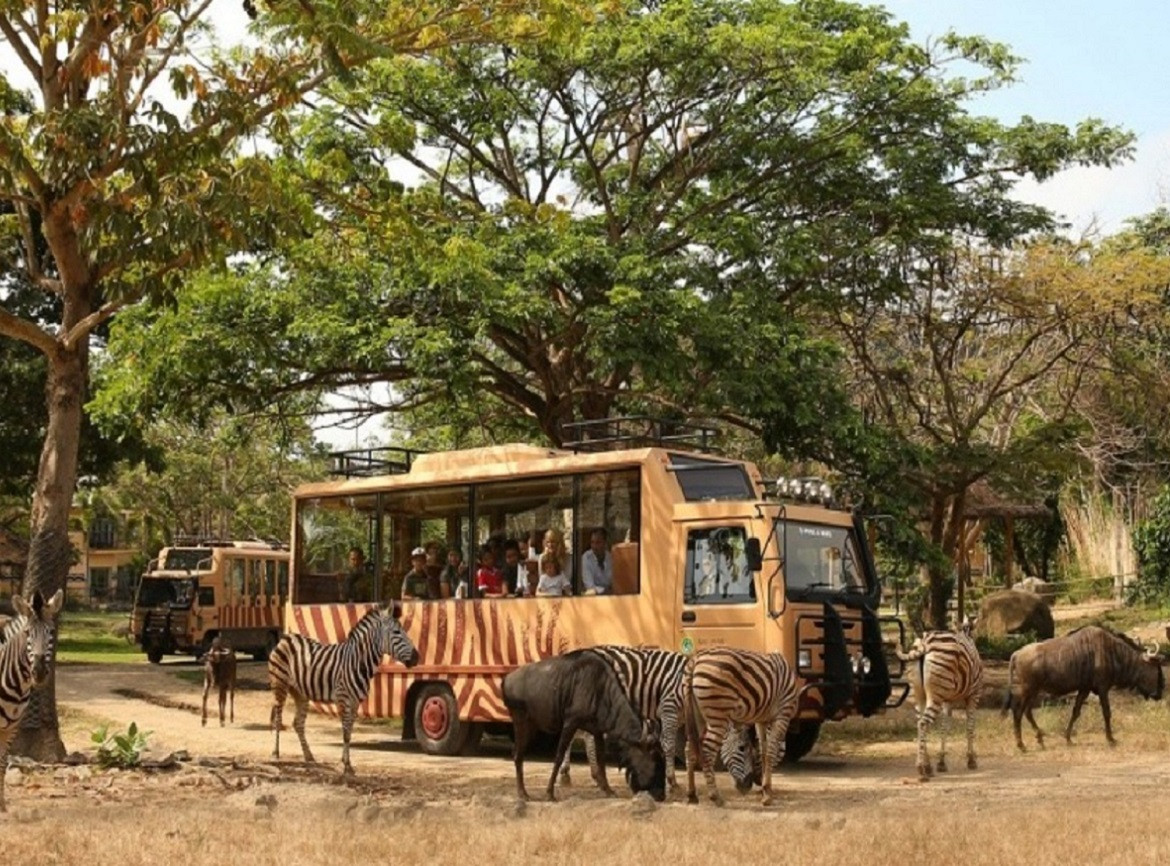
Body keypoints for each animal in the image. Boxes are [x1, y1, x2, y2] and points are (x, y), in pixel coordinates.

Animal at [0, 587, 64, 809]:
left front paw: (2, 806)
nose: (39, 673)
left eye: (51, 632)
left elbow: (2, 763)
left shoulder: (11, 728)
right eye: (27, 633)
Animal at [269, 603, 421, 777]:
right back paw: (275, 754)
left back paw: (309, 756)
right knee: (278, 719)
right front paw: (346, 765)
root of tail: (286, 638)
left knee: (298, 723)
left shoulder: (356, 702)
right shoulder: (343, 699)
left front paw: (346, 763)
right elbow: (346, 732)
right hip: (279, 685)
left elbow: (349, 732)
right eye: (396, 632)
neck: (358, 662)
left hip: (300, 693)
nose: (417, 658)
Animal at [683, 645, 800, 809]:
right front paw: (767, 794)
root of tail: (695, 659)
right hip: (718, 714)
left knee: (689, 749)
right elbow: (770, 752)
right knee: (707, 751)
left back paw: (691, 794)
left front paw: (765, 790)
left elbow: (763, 751)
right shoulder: (783, 714)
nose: (749, 785)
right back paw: (715, 796)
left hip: (697, 715)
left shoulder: (761, 720)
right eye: (742, 748)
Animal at [893, 627, 987, 772]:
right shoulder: (974, 695)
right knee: (923, 723)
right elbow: (970, 727)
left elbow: (944, 728)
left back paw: (926, 764)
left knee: (919, 723)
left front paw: (941, 761)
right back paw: (922, 768)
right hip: (936, 696)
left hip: (919, 694)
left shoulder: (948, 700)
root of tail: (925, 642)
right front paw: (971, 759)